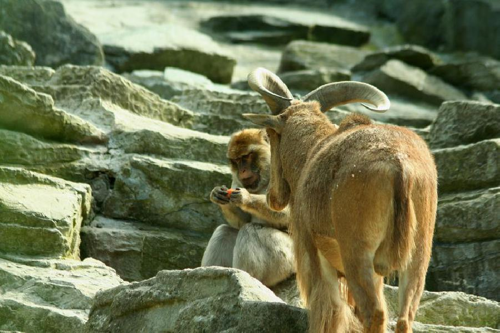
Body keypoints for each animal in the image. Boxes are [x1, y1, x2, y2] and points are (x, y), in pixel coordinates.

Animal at [201, 128, 294, 286]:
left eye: (247, 156)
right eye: (237, 160)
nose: (242, 171)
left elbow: (290, 213)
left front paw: (245, 198)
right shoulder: (237, 180)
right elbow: (242, 221)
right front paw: (218, 195)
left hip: (287, 259)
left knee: (250, 231)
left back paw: (247, 278)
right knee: (224, 231)